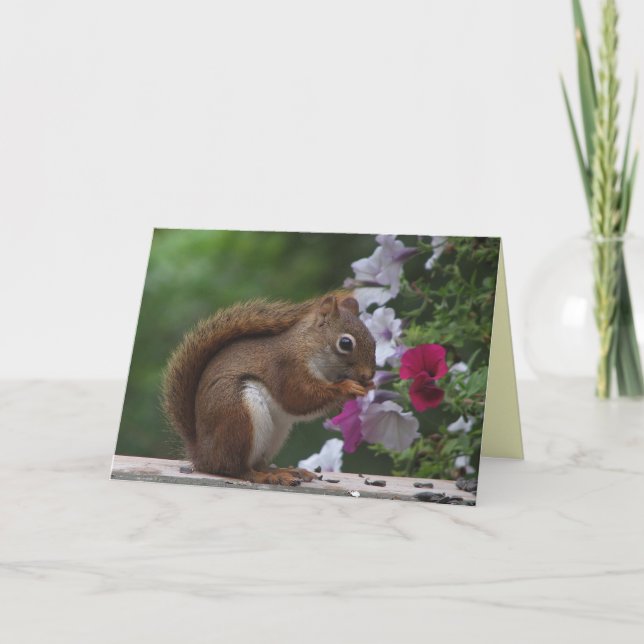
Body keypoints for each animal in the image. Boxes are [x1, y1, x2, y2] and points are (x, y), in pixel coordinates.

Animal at [162, 292, 376, 486]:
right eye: (345, 343)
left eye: (374, 341)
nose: (368, 375)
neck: (308, 346)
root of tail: (201, 453)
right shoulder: (288, 368)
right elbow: (299, 397)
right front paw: (346, 387)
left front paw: (368, 387)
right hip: (238, 415)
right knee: (234, 467)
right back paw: (267, 477)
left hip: (275, 433)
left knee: (258, 463)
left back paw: (287, 471)